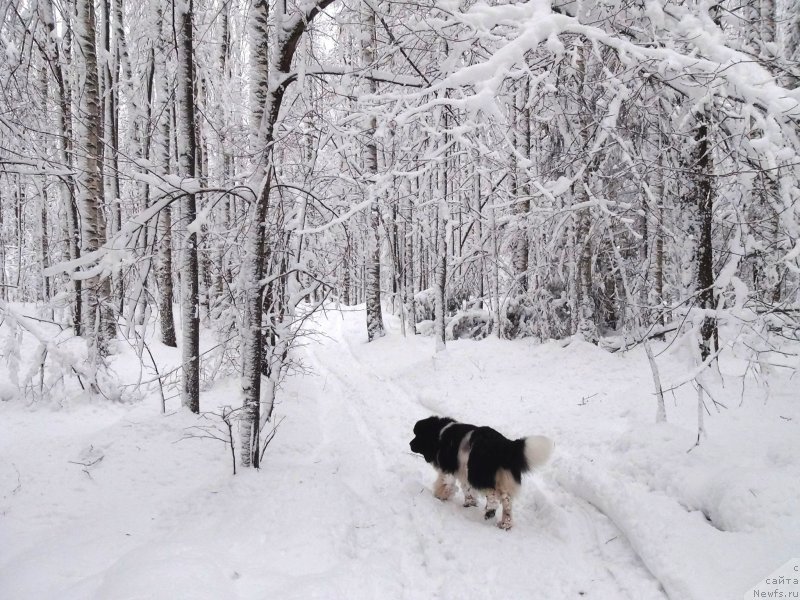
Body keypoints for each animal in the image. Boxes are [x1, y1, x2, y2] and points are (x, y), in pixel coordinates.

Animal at [410, 418, 552, 528]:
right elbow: (468, 490)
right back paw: (505, 523)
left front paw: (440, 496)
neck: (440, 433)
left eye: (418, 435)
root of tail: (505, 445)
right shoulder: (464, 473)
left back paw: (490, 511)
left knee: (493, 496)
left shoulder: (448, 469)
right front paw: (469, 504)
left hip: (478, 474)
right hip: (498, 477)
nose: (410, 444)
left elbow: (444, 483)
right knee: (506, 500)